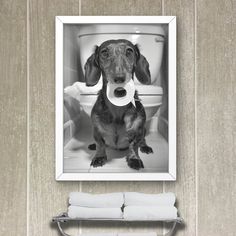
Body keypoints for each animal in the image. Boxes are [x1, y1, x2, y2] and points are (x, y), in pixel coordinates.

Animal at [85, 39, 153, 171]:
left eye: (129, 51)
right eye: (104, 52)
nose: (119, 79)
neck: (118, 106)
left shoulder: (138, 130)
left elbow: (134, 145)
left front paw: (134, 158)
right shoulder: (96, 130)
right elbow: (100, 144)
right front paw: (99, 156)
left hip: (144, 129)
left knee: (143, 139)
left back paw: (145, 146)